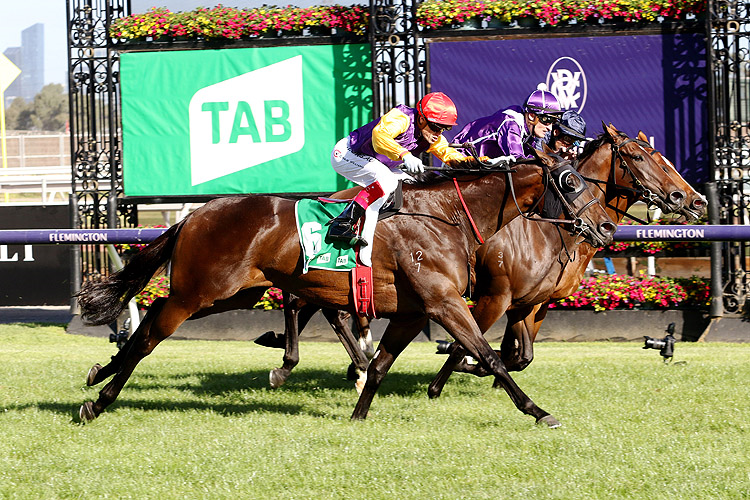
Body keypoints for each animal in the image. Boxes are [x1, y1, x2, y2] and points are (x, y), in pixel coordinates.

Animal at [75, 155, 616, 426]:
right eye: (571, 182)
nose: (606, 228)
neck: (446, 216)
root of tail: (193, 215)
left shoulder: (414, 312)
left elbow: (378, 364)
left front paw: (356, 415)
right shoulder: (443, 304)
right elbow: (489, 356)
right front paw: (538, 411)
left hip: (228, 294)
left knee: (149, 315)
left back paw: (100, 372)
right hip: (200, 292)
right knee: (149, 336)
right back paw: (98, 402)